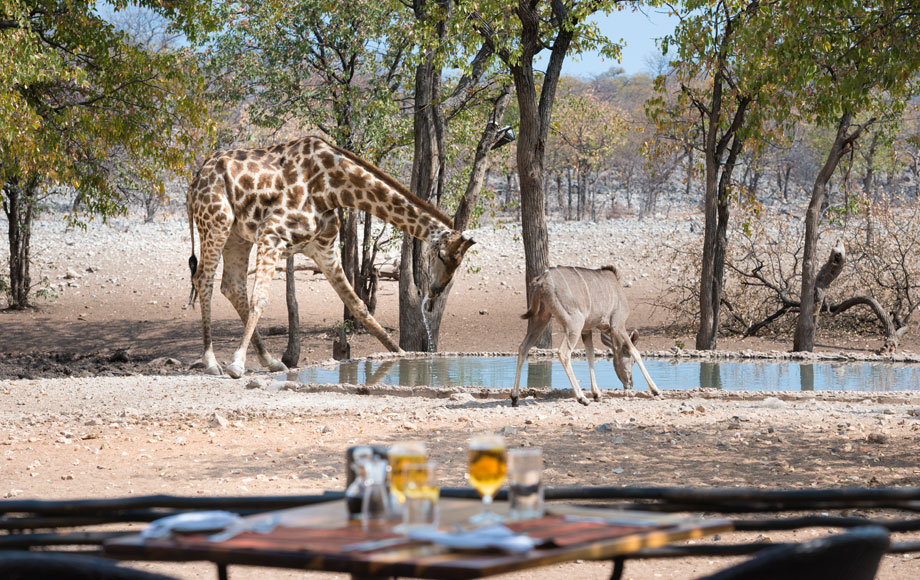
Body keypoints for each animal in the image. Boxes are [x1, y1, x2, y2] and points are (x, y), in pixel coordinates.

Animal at [186, 137, 474, 380]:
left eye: (458, 263)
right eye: (441, 255)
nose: (435, 291)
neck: (332, 188)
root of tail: (194, 181)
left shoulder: (324, 249)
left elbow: (358, 305)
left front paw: (401, 355)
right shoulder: (271, 235)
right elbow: (260, 299)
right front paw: (236, 364)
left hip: (238, 235)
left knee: (231, 286)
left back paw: (271, 361)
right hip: (216, 222)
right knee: (204, 280)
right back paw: (212, 362)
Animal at [512, 266, 656, 406]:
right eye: (631, 362)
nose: (630, 383)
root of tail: (541, 281)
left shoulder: (587, 330)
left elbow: (590, 355)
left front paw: (597, 394)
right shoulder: (618, 325)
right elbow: (635, 351)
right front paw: (655, 390)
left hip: (541, 319)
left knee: (523, 347)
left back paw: (515, 398)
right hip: (574, 324)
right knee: (563, 353)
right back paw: (582, 398)